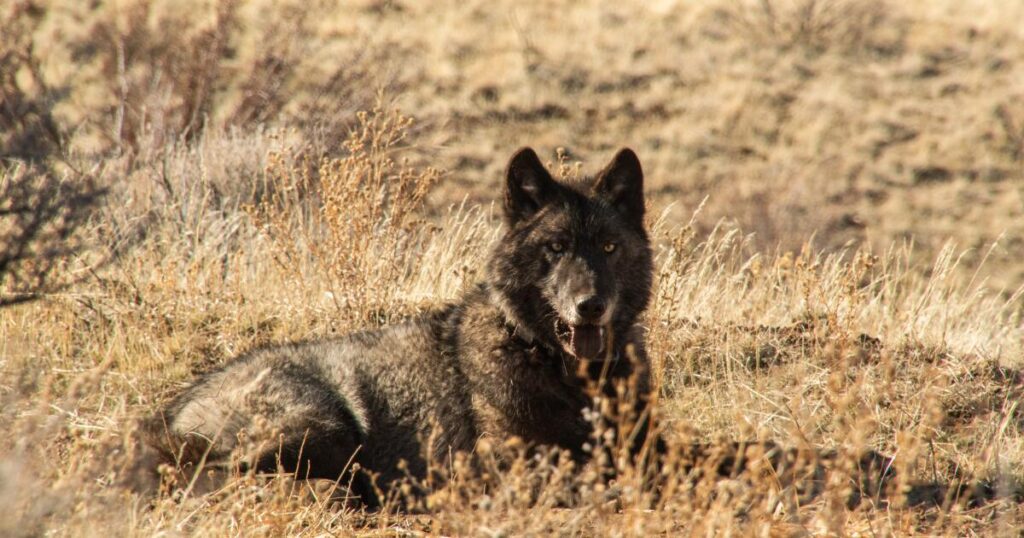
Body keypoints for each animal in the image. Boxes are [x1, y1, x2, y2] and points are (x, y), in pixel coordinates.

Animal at [144, 147, 659, 506]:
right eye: (555, 247)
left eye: (609, 247)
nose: (590, 306)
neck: (569, 376)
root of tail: (172, 410)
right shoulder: (504, 465)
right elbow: (583, 479)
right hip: (323, 426)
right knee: (219, 477)